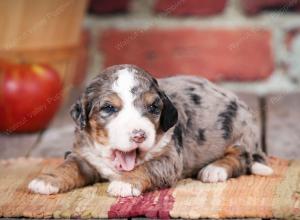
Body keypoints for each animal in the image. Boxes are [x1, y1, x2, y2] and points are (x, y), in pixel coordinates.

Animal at [27, 64, 272, 197]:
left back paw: (214, 169)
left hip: (240, 131)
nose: (139, 135)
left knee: (241, 158)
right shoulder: (84, 155)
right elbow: (69, 166)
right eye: (108, 108)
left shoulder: (169, 158)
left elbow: (146, 168)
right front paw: (46, 180)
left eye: (154, 107)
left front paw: (124, 184)